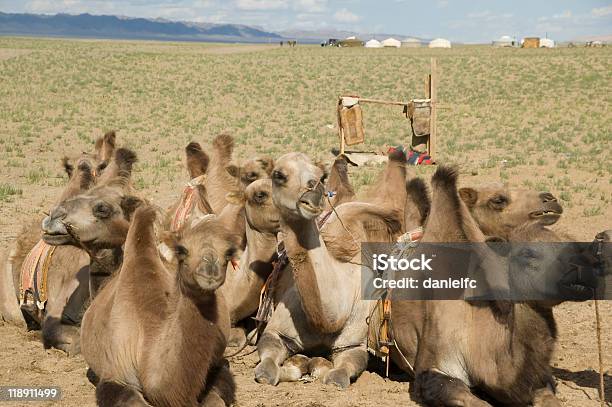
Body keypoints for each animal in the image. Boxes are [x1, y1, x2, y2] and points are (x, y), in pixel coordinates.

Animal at [251, 151, 404, 388]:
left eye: (320, 176)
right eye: (279, 175)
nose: (312, 194)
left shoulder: (352, 345)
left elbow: (337, 377)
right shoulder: (275, 332)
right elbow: (266, 369)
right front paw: (295, 366)